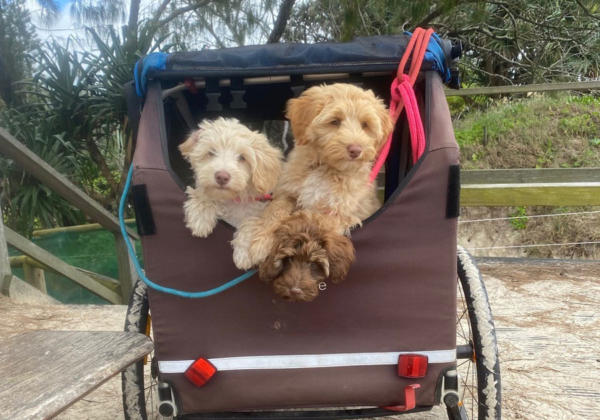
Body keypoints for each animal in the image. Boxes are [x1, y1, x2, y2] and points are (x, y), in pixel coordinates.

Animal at [233, 84, 394, 270]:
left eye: (365, 125)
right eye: (335, 121)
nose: (355, 150)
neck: (325, 167)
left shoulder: (339, 214)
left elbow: (306, 221)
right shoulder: (288, 192)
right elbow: (275, 211)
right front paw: (259, 241)